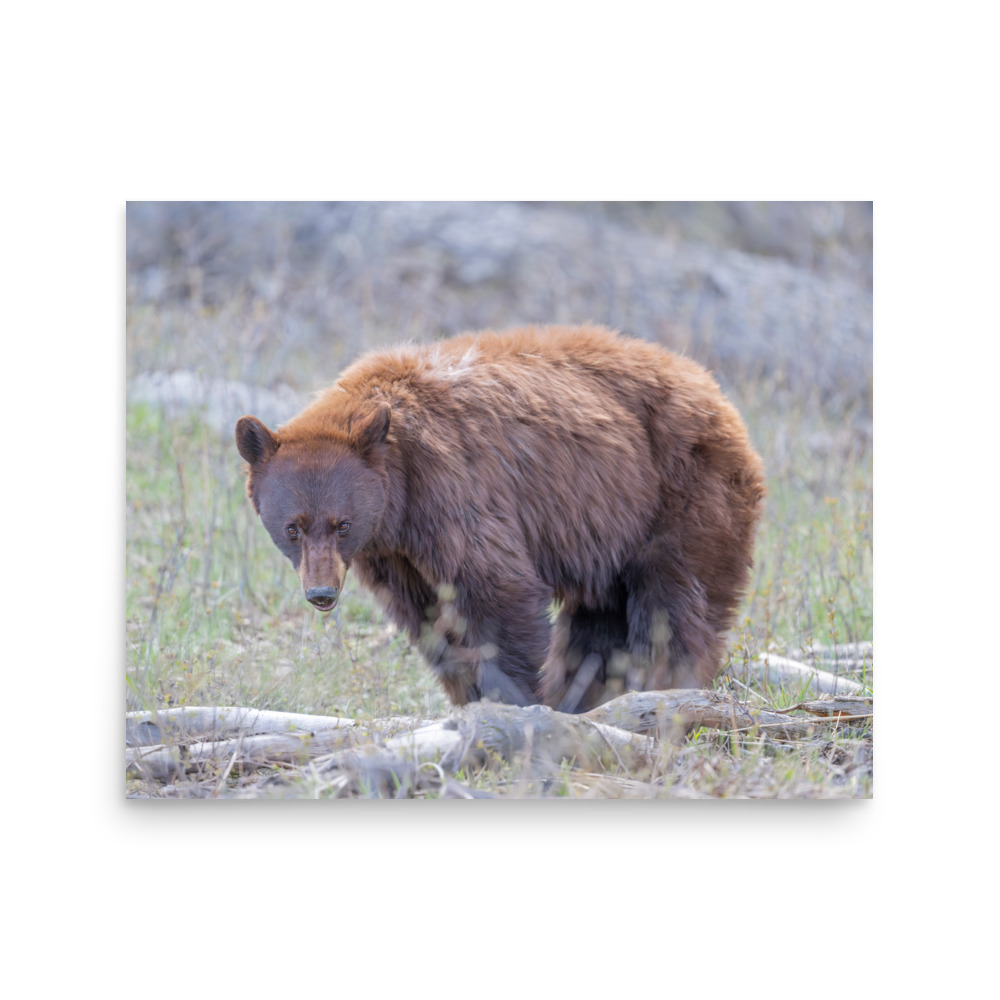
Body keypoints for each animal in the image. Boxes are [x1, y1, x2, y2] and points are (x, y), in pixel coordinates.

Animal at [235, 324, 765, 712]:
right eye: (293, 528)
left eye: (341, 524)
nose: (321, 593)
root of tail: (715, 390)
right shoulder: (394, 553)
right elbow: (429, 618)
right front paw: (470, 696)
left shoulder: (454, 490)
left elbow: (497, 591)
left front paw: (512, 699)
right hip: (610, 528)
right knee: (599, 620)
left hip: (681, 492)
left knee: (674, 603)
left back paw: (662, 685)